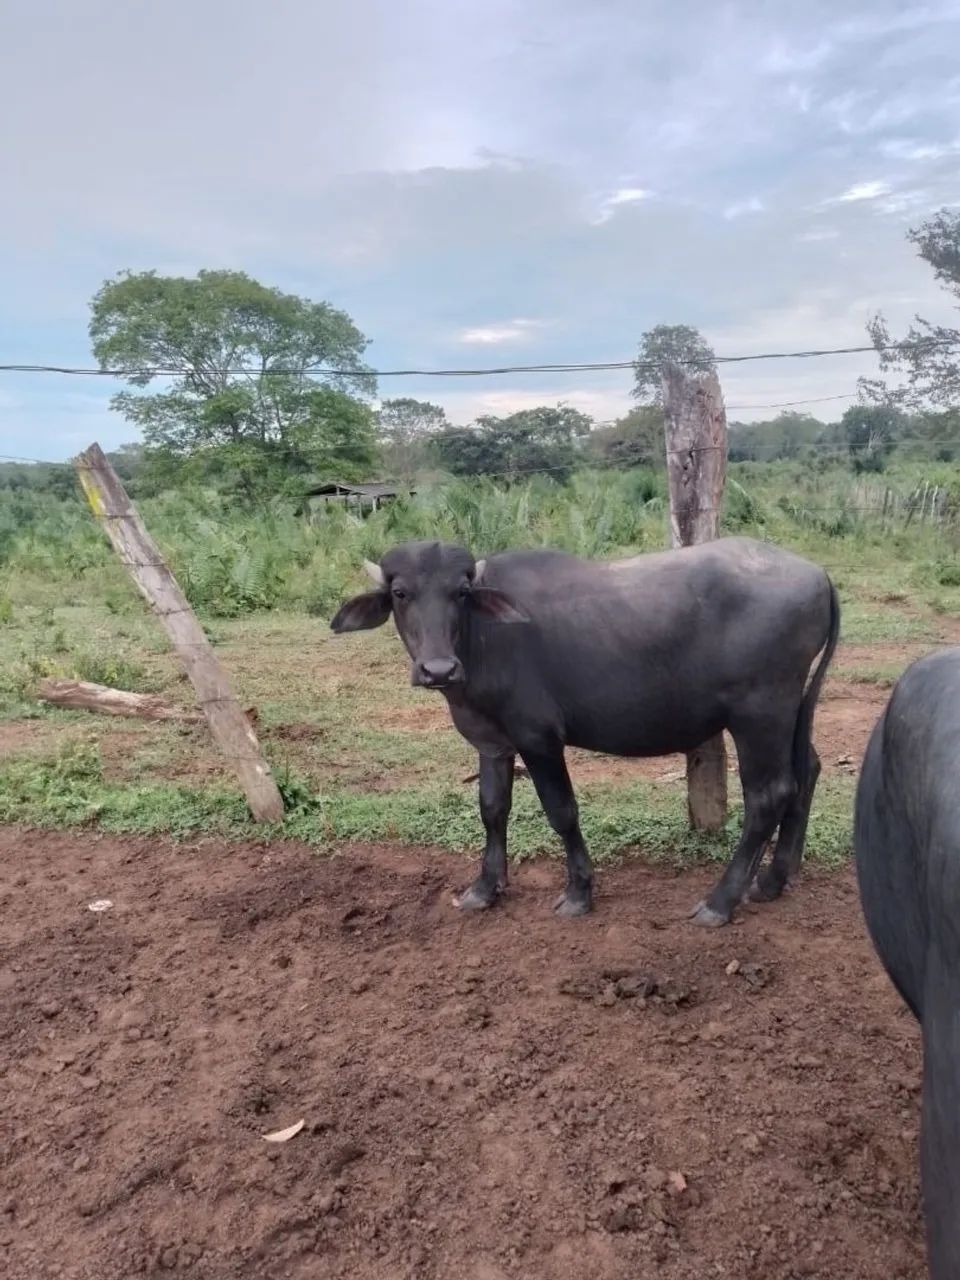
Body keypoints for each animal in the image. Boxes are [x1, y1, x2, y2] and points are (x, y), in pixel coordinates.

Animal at [331, 536, 840, 926]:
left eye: (459, 591)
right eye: (401, 593)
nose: (438, 669)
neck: (482, 639)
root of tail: (818, 574)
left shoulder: (538, 739)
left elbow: (562, 811)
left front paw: (578, 892)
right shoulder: (493, 743)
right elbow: (492, 809)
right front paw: (484, 887)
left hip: (759, 712)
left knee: (769, 795)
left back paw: (720, 902)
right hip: (789, 708)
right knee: (806, 771)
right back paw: (772, 879)